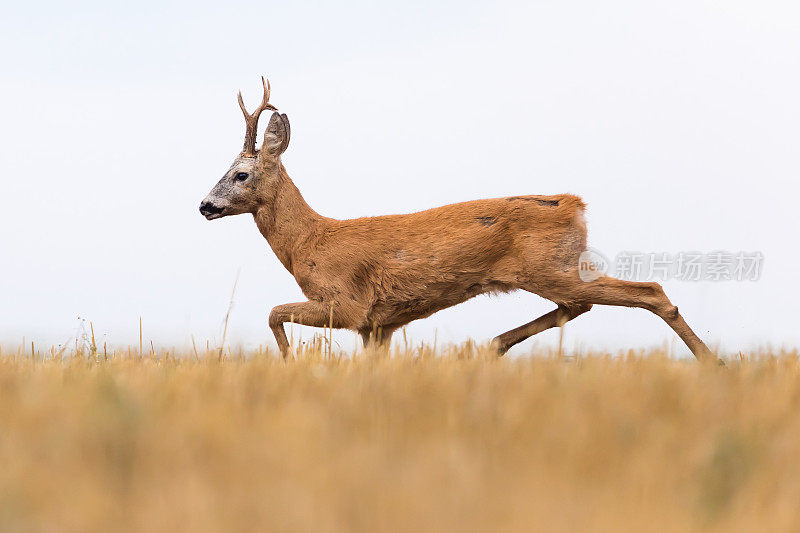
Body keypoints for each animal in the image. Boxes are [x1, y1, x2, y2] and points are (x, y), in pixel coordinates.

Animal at [198, 78, 720, 362]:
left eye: (240, 174)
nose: (204, 205)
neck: (310, 242)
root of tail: (573, 204)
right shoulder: (378, 326)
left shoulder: (348, 304)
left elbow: (272, 313)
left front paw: (290, 363)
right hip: (555, 270)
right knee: (580, 307)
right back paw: (492, 344)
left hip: (552, 269)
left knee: (647, 291)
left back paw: (713, 364)